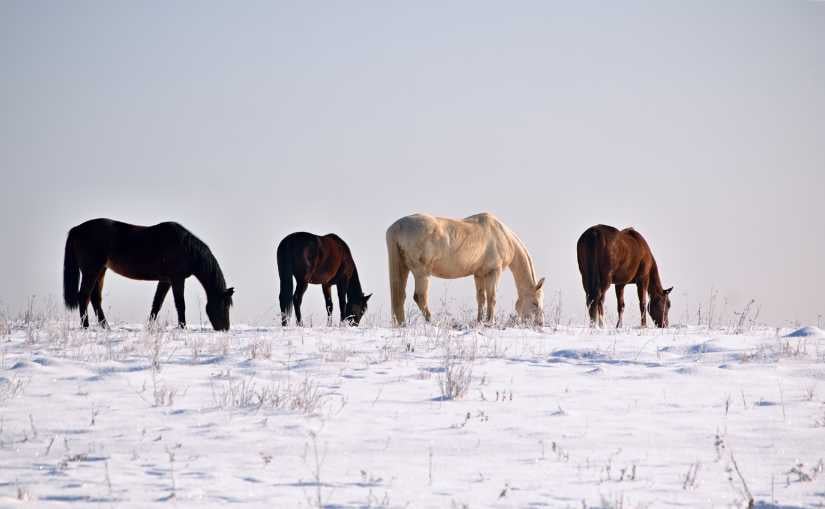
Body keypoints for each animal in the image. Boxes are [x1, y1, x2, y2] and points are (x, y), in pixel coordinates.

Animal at [63, 218, 235, 330]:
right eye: (224, 304)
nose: (225, 329)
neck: (186, 248)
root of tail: (76, 229)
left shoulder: (165, 280)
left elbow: (156, 304)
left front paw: (150, 327)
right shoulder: (177, 279)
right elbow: (180, 304)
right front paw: (182, 327)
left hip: (101, 270)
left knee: (95, 298)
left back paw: (106, 327)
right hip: (91, 270)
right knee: (84, 296)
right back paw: (85, 327)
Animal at [386, 212, 545, 326]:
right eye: (535, 303)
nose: (540, 324)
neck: (502, 236)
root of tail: (397, 227)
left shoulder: (479, 274)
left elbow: (481, 298)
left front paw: (480, 321)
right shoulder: (494, 271)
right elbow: (492, 298)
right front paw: (490, 321)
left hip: (402, 268)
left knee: (399, 297)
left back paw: (403, 325)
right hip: (421, 273)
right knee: (419, 297)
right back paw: (432, 322)